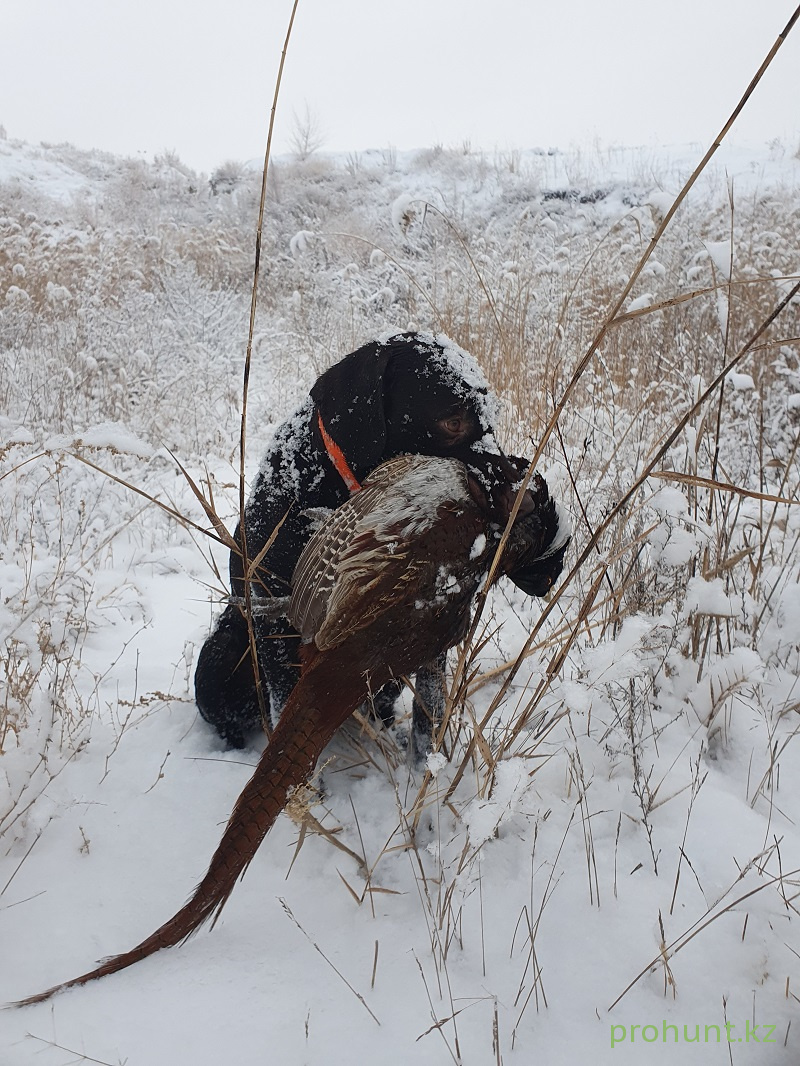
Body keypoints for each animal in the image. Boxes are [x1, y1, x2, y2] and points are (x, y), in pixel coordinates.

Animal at [194, 332, 571, 750]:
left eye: (492, 421)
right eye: (452, 420)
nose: (528, 502)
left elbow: (428, 704)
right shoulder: (273, 635)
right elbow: (282, 707)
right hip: (220, 655)